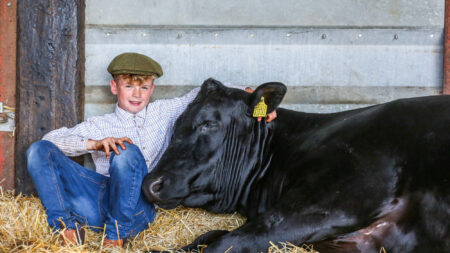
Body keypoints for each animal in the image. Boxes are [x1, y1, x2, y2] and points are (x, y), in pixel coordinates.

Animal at [143, 79, 450, 253]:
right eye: (177, 122)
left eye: (209, 123)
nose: (150, 184)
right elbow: (212, 236)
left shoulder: (331, 200)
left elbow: (225, 243)